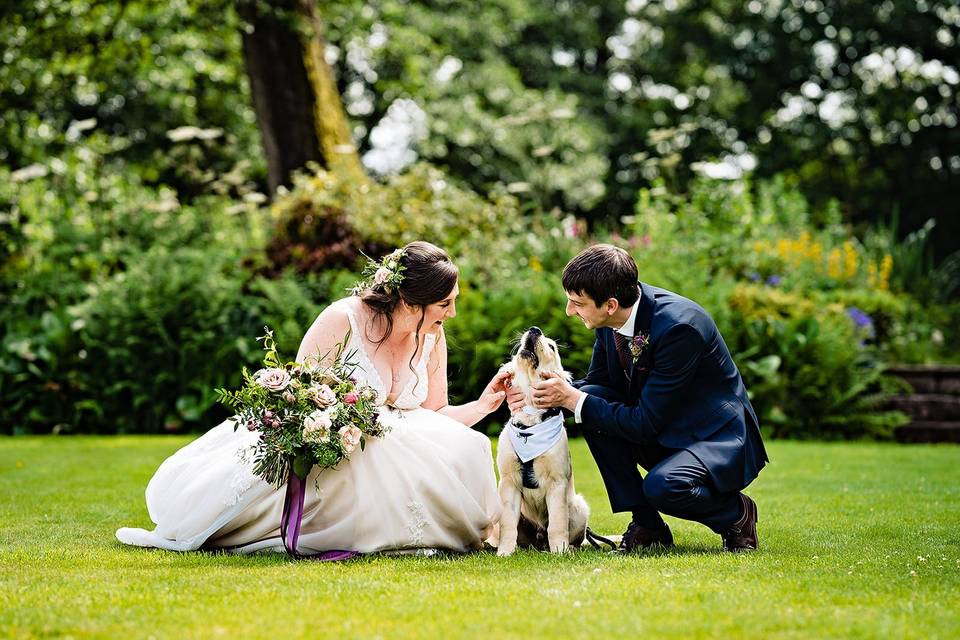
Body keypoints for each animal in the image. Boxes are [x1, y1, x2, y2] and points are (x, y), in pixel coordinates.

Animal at [496, 324, 592, 556]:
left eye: (552, 347)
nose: (534, 329)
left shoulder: (557, 482)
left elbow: (557, 523)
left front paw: (560, 550)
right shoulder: (508, 481)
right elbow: (507, 524)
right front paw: (504, 552)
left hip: (579, 508)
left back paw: (569, 547)